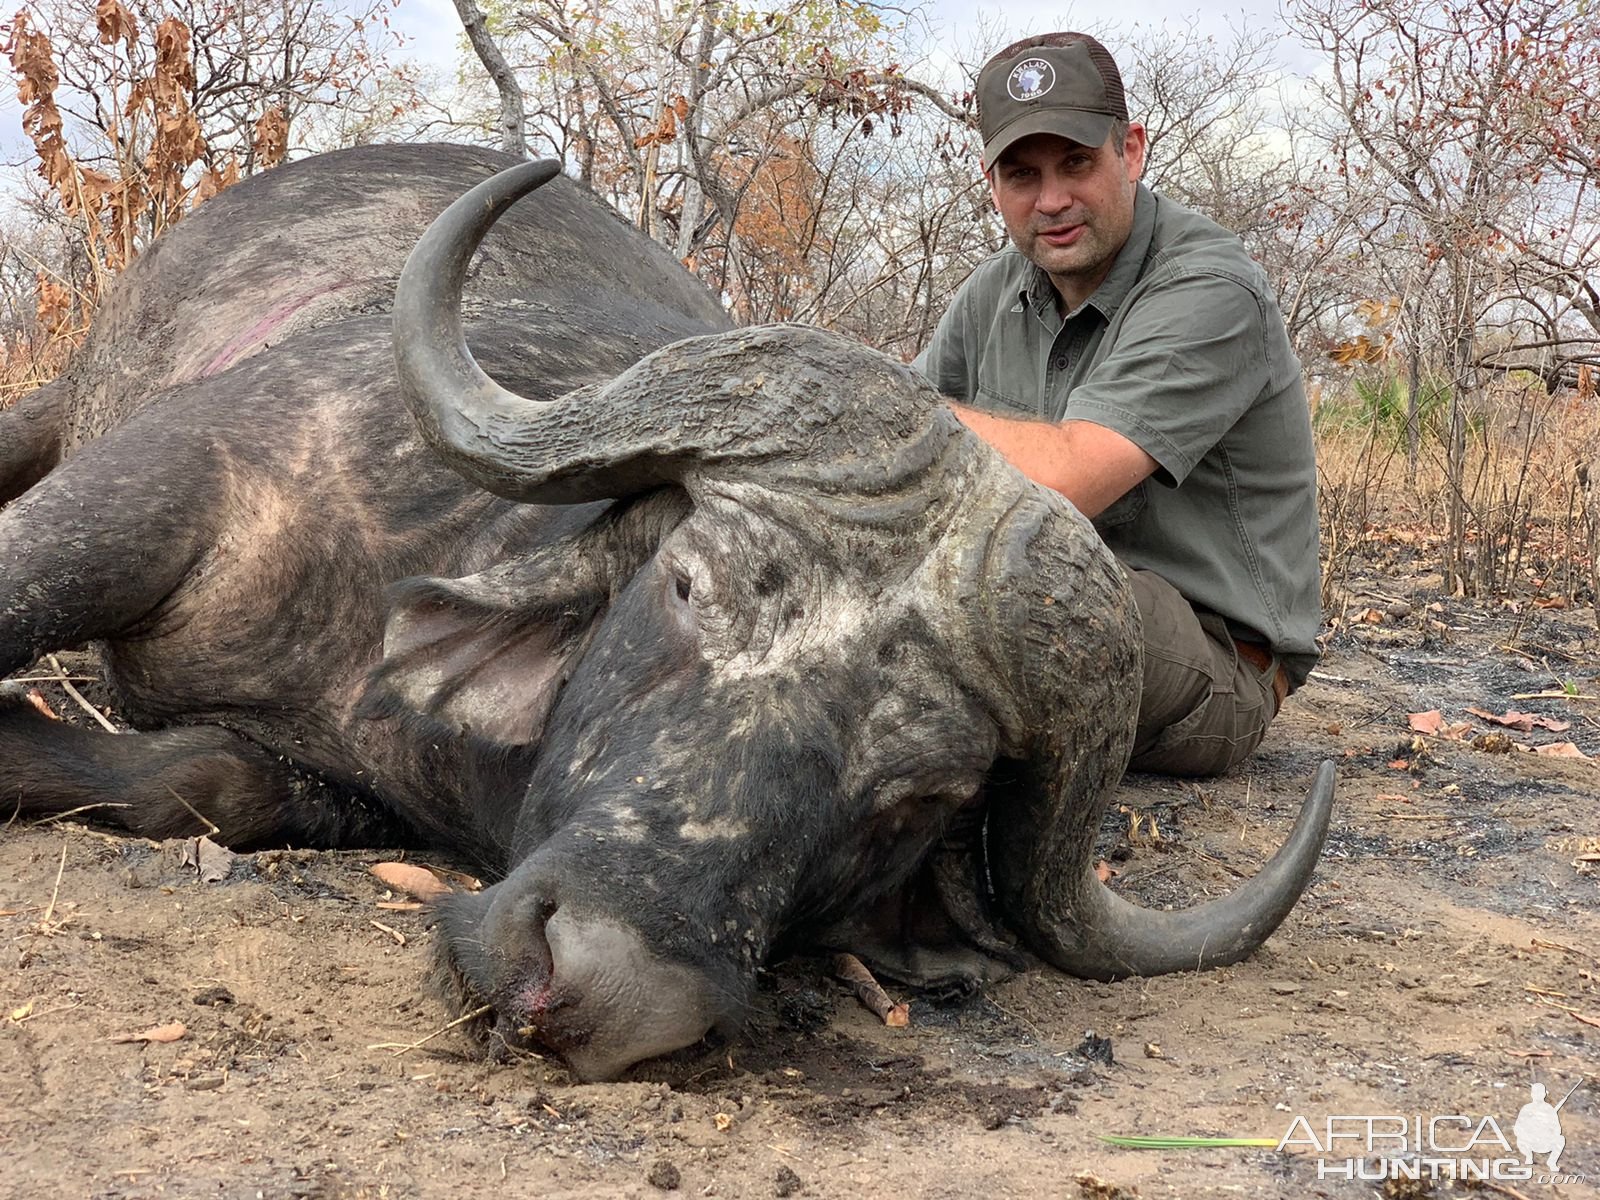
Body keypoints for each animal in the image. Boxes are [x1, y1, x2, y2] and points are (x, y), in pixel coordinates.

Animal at [0, 140, 1337, 1081]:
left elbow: (206, 779)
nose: (601, 985)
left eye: (923, 796)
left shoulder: (334, 785)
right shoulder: (163, 483)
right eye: (691, 585)